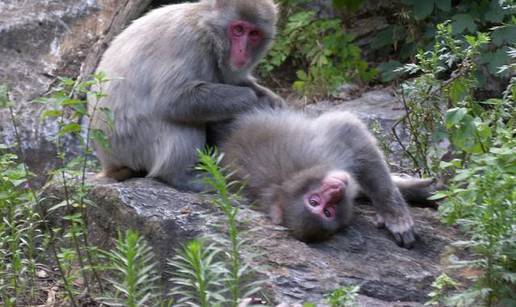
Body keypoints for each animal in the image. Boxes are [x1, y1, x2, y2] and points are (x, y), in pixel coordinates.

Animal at [86, 0, 284, 191]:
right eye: (238, 30)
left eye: (254, 34)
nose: (242, 51)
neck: (208, 30)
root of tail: (109, 163)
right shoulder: (190, 43)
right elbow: (172, 99)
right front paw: (253, 99)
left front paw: (271, 98)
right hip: (133, 145)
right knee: (181, 119)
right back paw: (179, 177)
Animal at [220, 109, 434, 249]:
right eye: (326, 210)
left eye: (314, 201)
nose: (336, 190)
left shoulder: (313, 151)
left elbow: (349, 130)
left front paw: (395, 216)